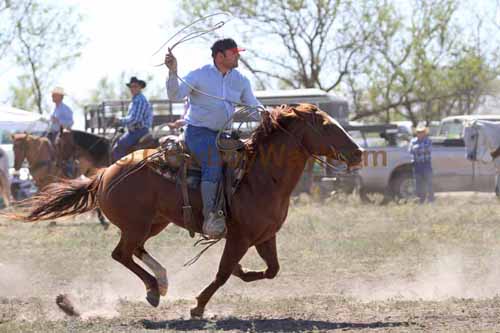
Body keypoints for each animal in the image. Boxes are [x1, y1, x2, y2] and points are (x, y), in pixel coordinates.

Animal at [12, 103, 364, 316]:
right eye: (326, 125)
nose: (358, 152)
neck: (261, 176)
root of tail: (105, 172)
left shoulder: (265, 236)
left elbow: (270, 270)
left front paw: (241, 272)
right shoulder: (240, 237)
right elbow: (222, 274)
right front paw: (198, 307)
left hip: (154, 223)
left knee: (134, 251)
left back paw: (160, 282)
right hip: (137, 224)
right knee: (121, 254)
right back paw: (154, 289)